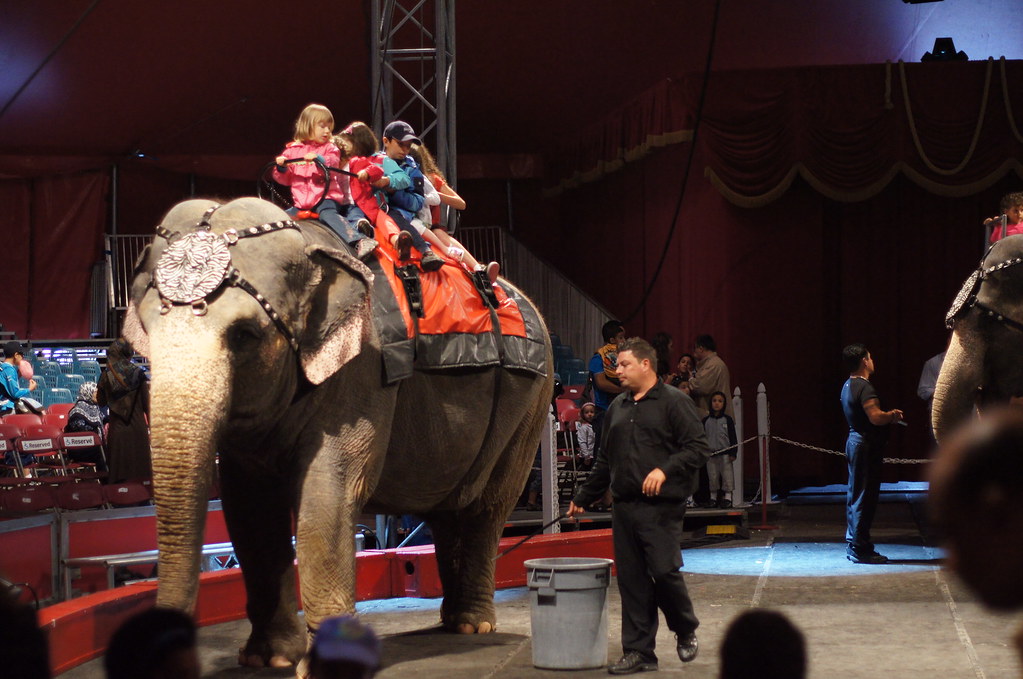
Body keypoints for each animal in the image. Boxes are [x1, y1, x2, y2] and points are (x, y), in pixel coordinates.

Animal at [122, 196, 553, 670]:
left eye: (244, 336)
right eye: (147, 331)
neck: (310, 246)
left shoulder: (362, 371)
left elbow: (328, 493)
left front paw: (326, 665)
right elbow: (249, 506)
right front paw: (270, 659)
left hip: (531, 401)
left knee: (487, 507)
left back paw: (473, 625)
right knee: (449, 510)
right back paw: (454, 620)